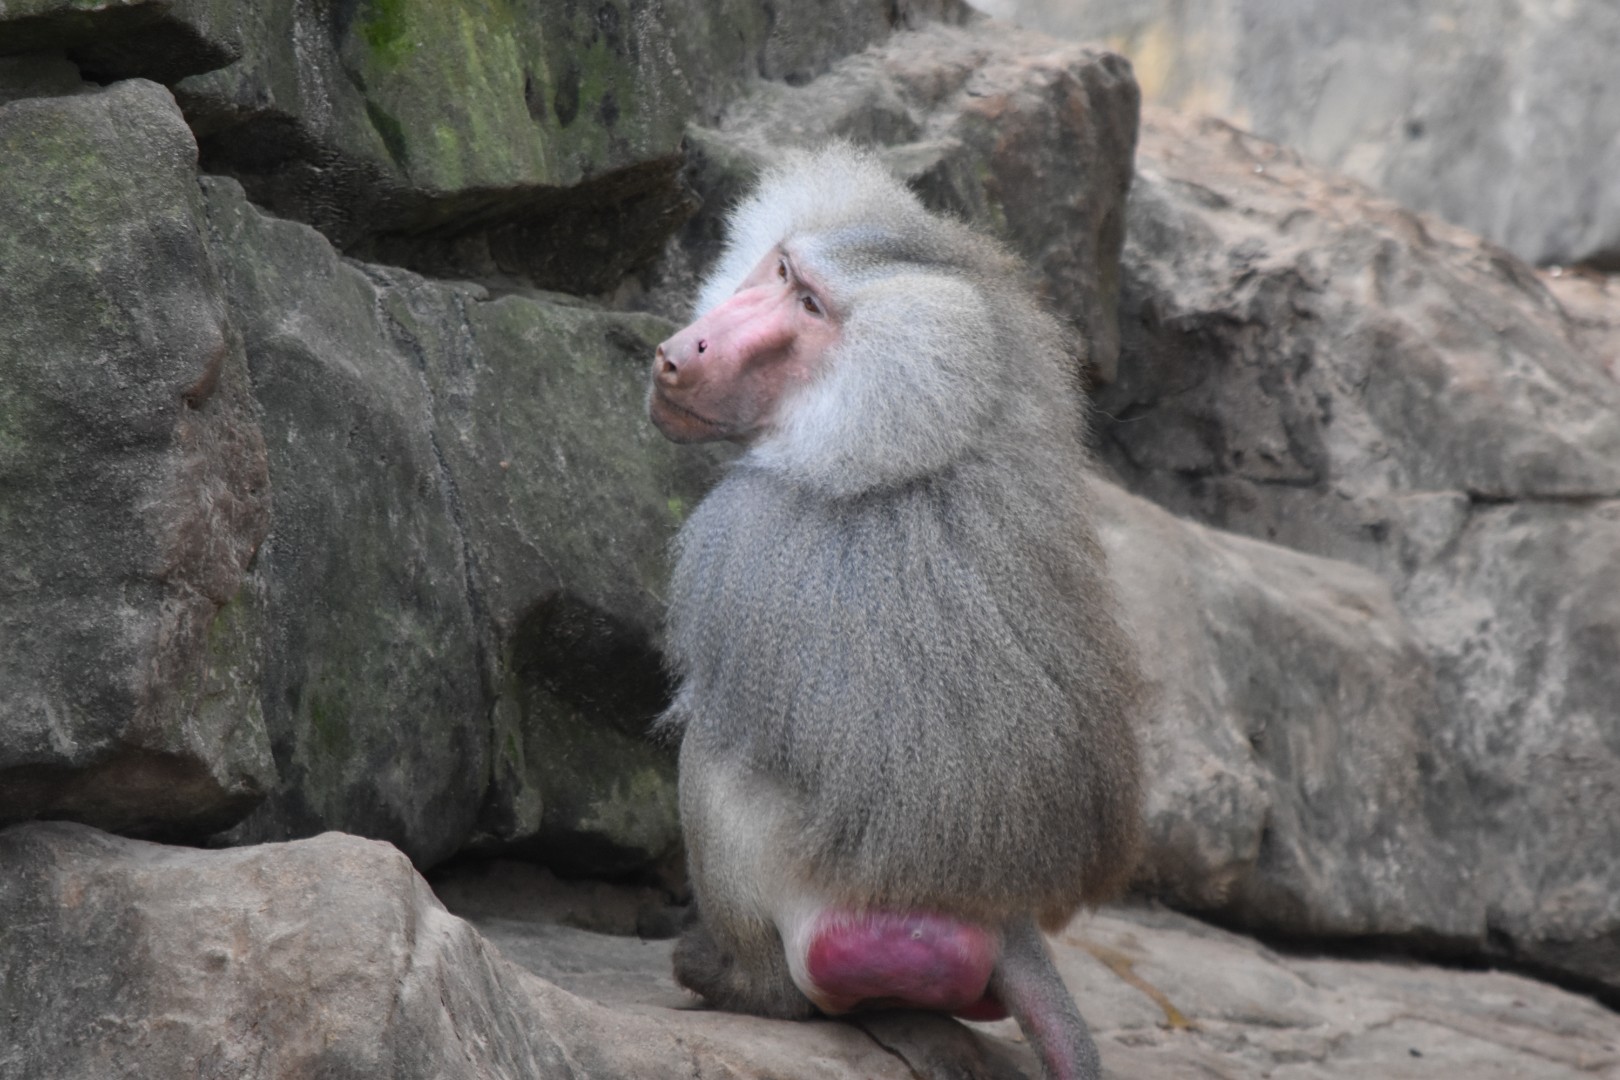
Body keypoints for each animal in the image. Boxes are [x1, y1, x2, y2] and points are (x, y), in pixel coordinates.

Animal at [646, 144, 1143, 1080]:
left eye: (810, 309)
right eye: (782, 272)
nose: (688, 347)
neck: (921, 440)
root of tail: (999, 920)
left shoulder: (737, 536)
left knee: (716, 754)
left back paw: (737, 982)